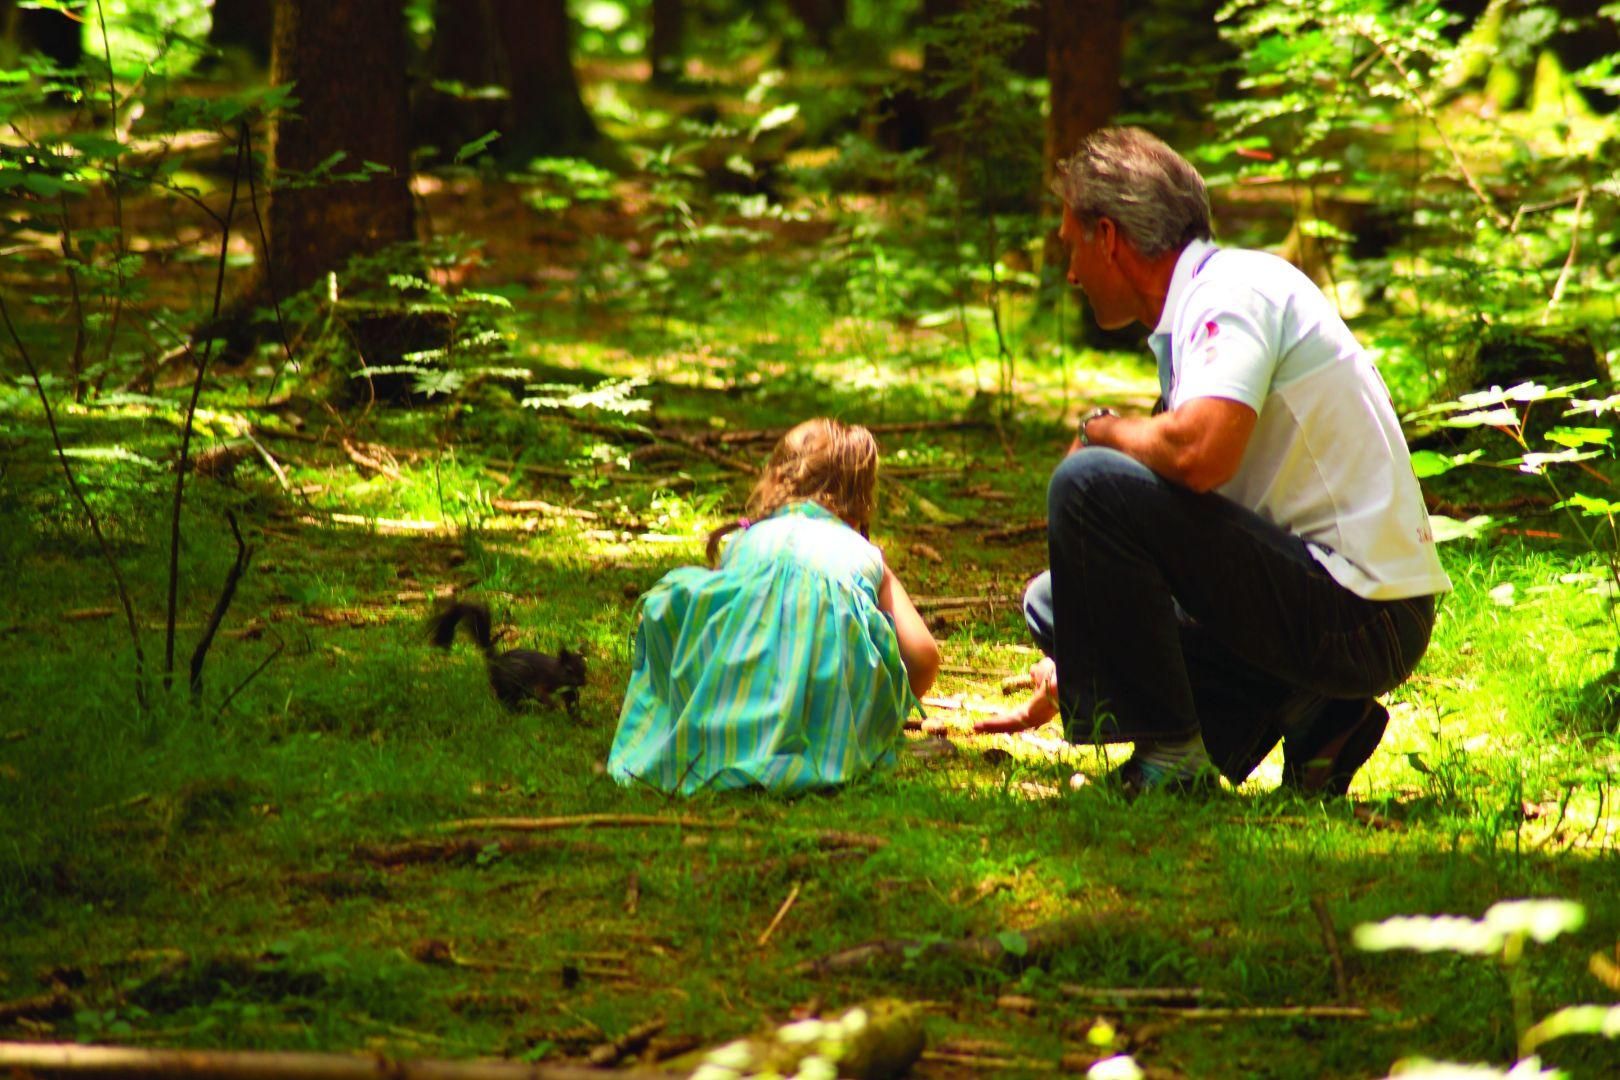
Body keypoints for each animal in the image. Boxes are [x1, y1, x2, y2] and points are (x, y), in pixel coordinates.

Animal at [427, 599, 586, 718]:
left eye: (584, 668)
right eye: (569, 670)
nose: (582, 682)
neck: (554, 671)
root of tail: (495, 662)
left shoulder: (566, 688)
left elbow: (570, 697)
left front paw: (573, 708)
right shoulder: (541, 682)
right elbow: (541, 694)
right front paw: (554, 705)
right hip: (509, 686)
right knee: (505, 700)